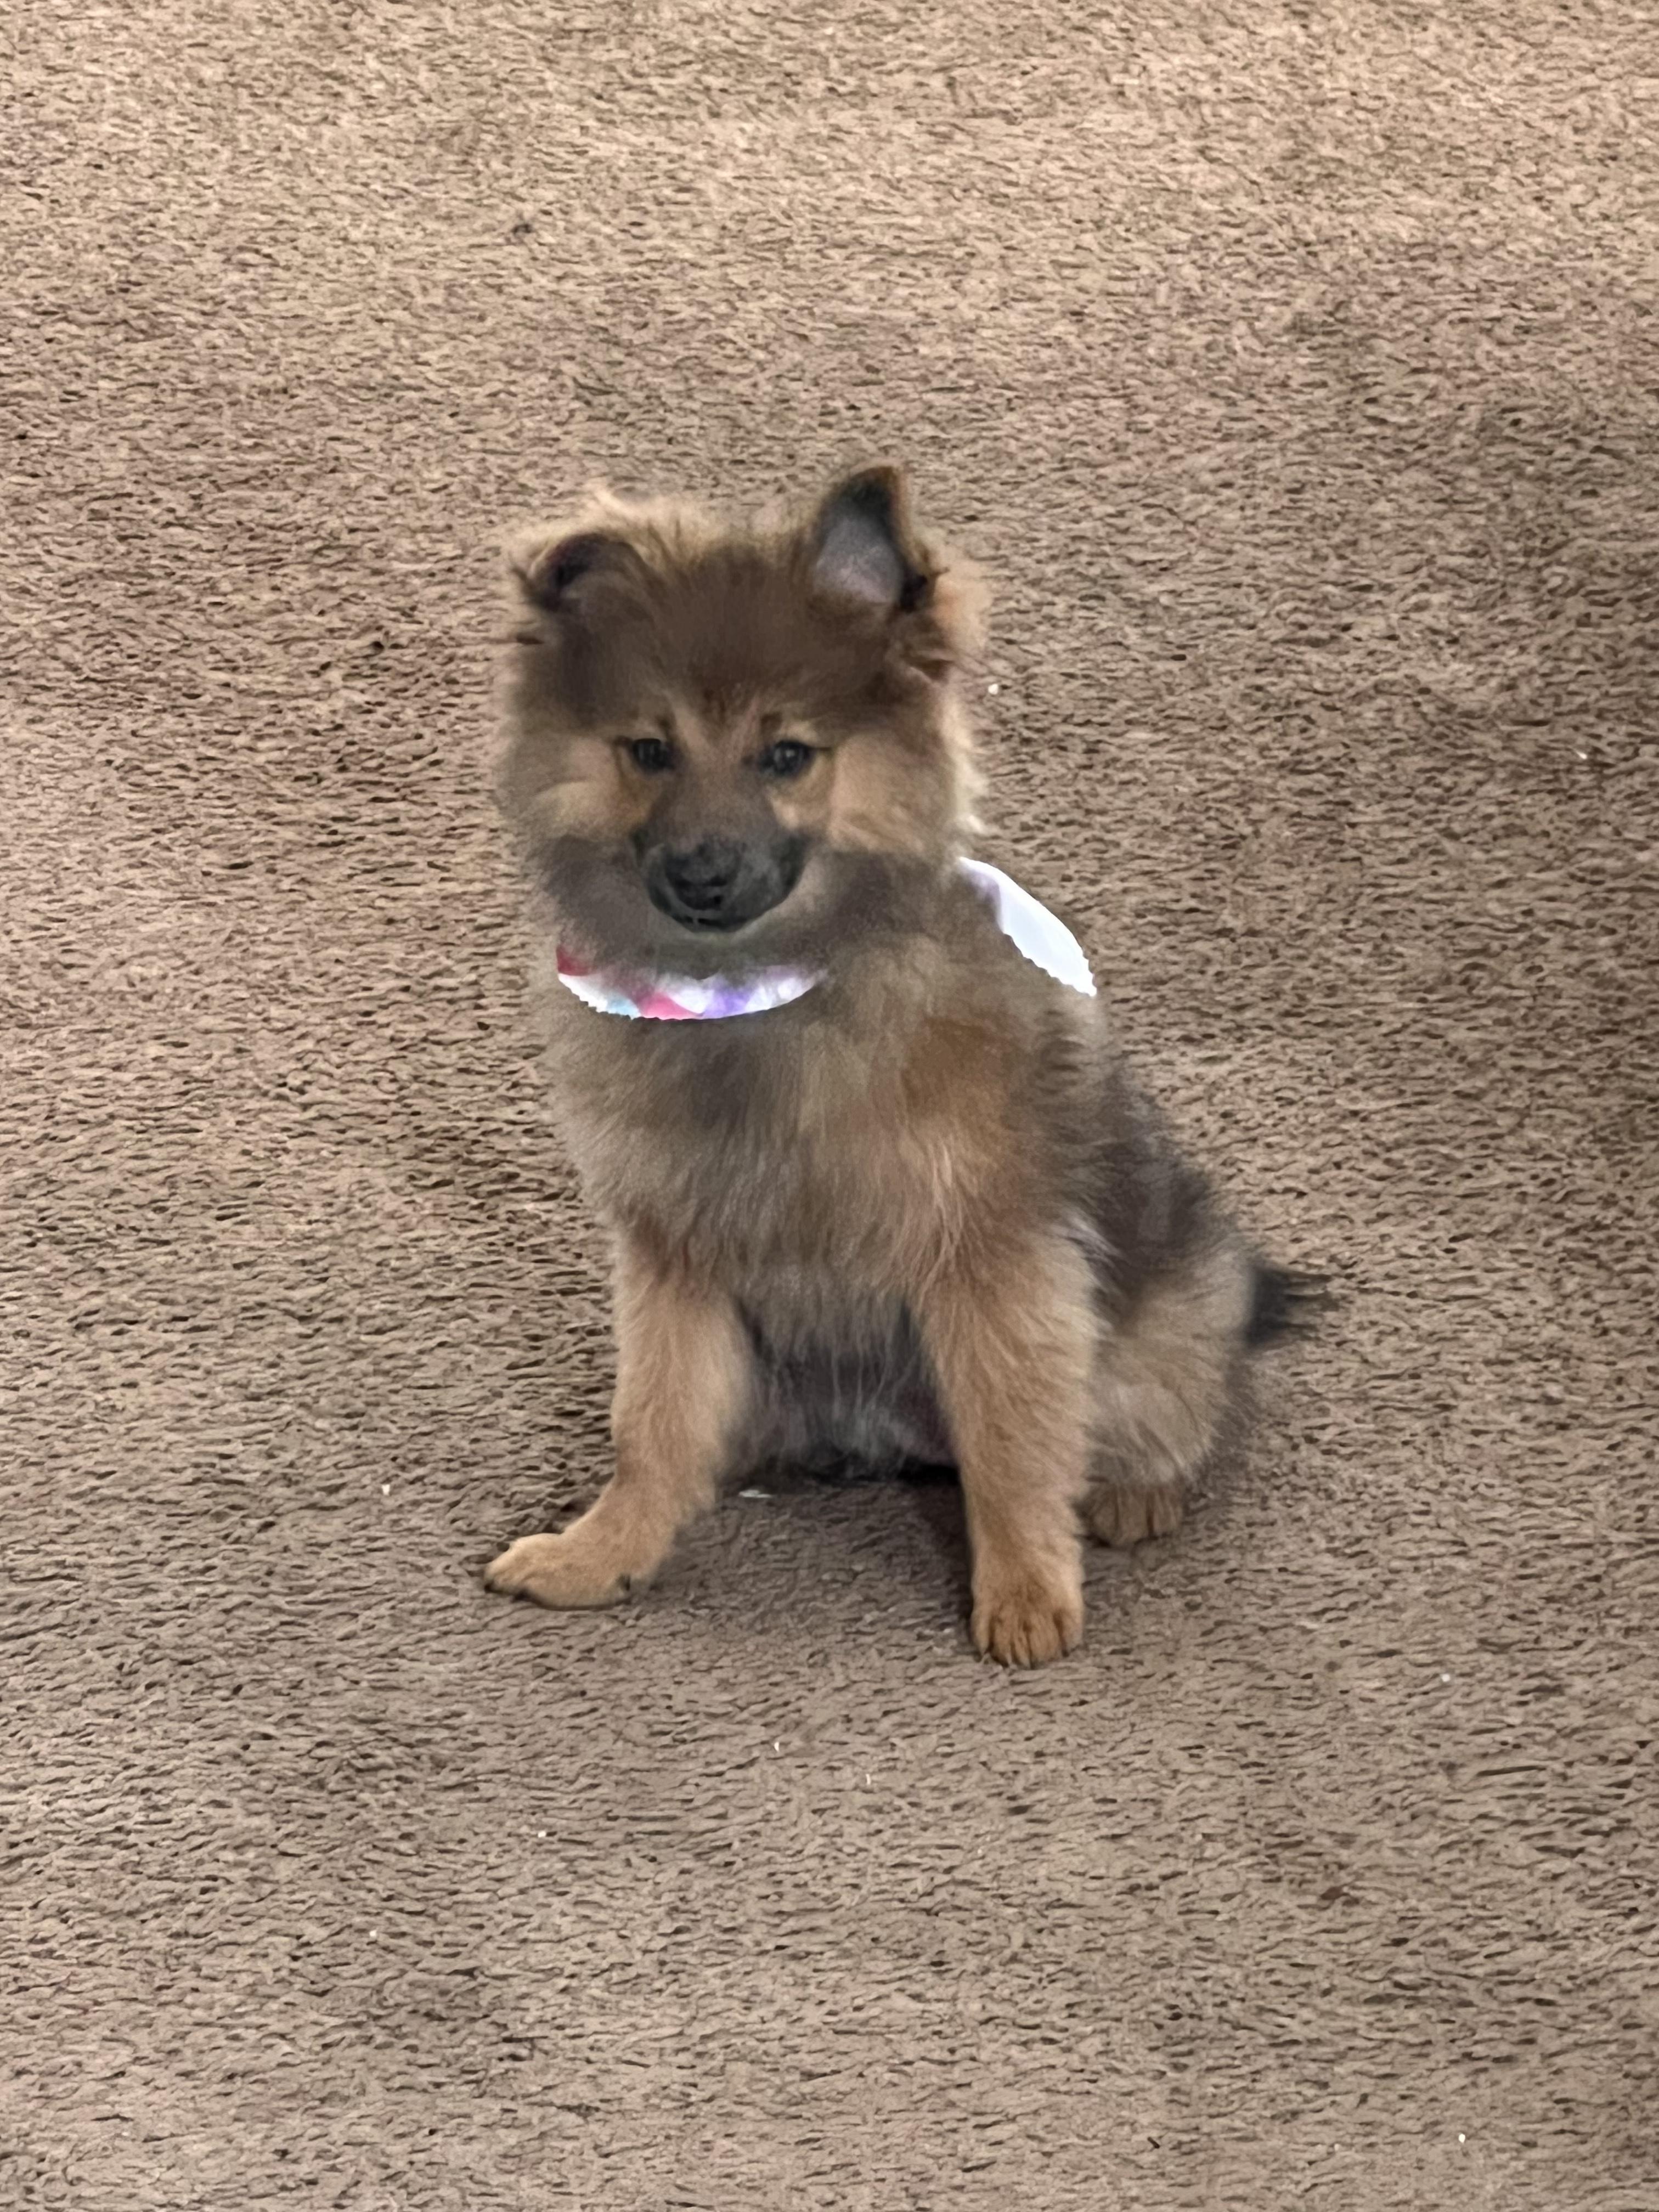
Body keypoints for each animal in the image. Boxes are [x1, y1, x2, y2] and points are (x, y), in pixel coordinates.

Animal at [485, 465, 1310, 1665]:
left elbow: (1013, 1445)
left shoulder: (989, 1258)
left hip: (1159, 1333)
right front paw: (604, 1552)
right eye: (648, 750)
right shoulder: (673, 1259)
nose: (700, 871)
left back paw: (1136, 1493)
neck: (760, 992)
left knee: (1166, 1414)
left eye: (786, 755)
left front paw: (1024, 1592)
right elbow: (652, 1423)